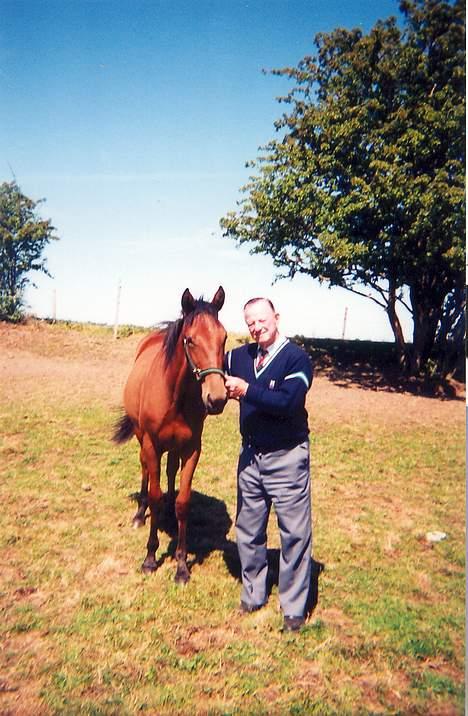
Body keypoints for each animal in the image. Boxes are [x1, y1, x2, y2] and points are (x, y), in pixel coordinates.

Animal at [113, 286, 227, 580]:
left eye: (224, 338)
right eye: (190, 340)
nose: (217, 399)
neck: (175, 396)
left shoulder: (192, 449)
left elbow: (184, 502)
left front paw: (182, 565)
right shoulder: (152, 445)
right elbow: (154, 495)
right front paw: (150, 558)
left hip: (174, 447)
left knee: (171, 472)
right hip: (142, 438)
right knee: (145, 469)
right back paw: (140, 515)